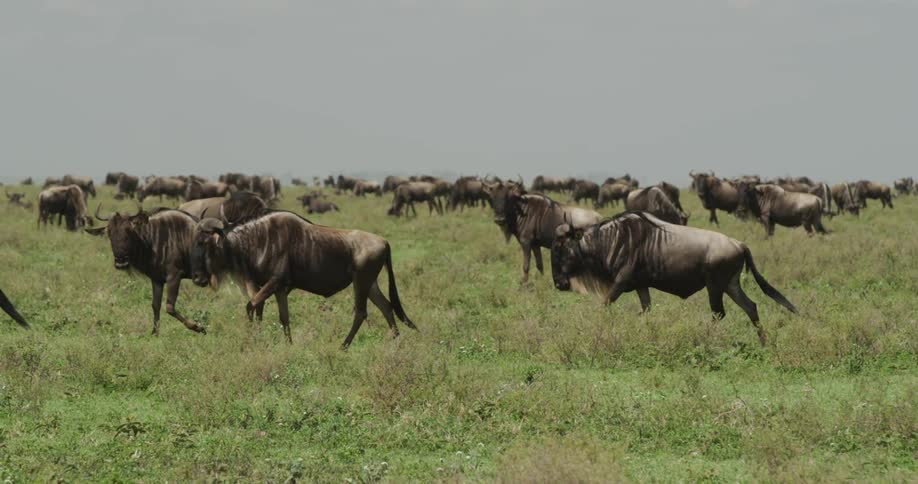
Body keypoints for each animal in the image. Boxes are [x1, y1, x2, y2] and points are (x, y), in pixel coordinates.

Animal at [86, 206, 207, 335]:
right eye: (109, 233)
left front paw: (197, 327)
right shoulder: (157, 280)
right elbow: (155, 305)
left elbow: (169, 307)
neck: (152, 242)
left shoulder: (174, 276)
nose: (121, 262)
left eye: (129, 231)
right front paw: (154, 333)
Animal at [190, 212, 417, 347]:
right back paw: (396, 342)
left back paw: (343, 346)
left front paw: (250, 341)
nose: (197, 278)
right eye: (195, 242)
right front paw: (286, 344)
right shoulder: (279, 289)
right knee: (386, 306)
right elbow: (282, 317)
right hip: (370, 284)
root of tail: (385, 242)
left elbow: (251, 306)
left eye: (204, 243)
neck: (258, 241)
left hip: (361, 282)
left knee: (361, 312)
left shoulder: (274, 283)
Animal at [550, 212, 797, 345]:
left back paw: (704, 339)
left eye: (561, 249)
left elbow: (603, 306)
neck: (614, 240)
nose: (559, 284)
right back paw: (764, 343)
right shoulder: (641, 286)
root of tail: (740, 244)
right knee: (750, 307)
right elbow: (646, 312)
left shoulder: (620, 284)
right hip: (731, 285)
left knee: (718, 313)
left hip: (715, 286)